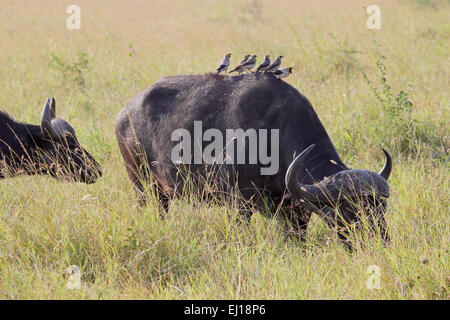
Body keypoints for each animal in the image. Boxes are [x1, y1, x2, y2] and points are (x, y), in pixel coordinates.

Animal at [117, 73, 394, 245]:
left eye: (381, 208)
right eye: (347, 211)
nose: (379, 241)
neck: (275, 134)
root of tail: (125, 113)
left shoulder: (295, 213)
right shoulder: (237, 204)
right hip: (142, 186)